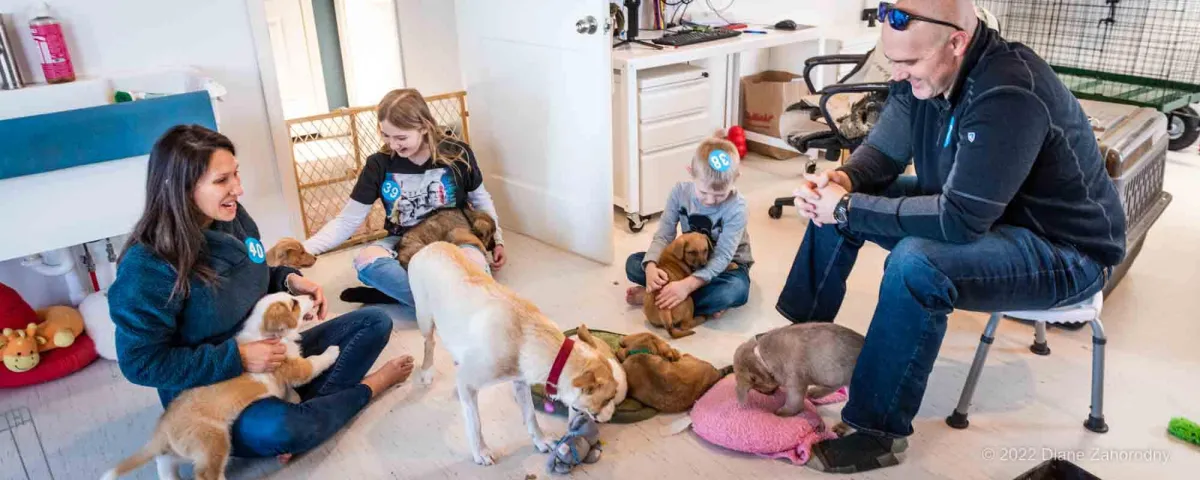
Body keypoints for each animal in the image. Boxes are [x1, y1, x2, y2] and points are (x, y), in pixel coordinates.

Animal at [410, 242, 624, 468]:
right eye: (609, 398)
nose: (612, 416)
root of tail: (429, 246)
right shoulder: (469, 384)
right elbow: (475, 424)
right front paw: (481, 451)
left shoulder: (520, 382)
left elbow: (530, 415)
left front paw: (540, 440)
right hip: (425, 318)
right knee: (429, 344)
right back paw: (427, 371)